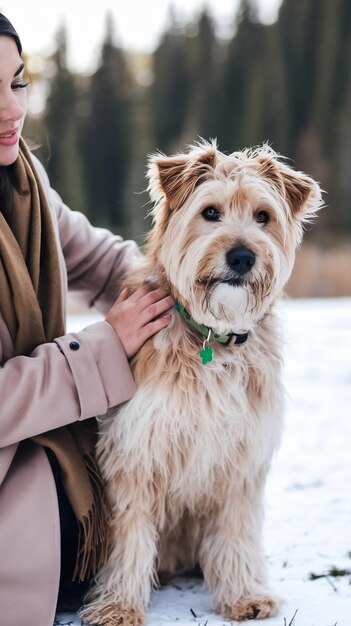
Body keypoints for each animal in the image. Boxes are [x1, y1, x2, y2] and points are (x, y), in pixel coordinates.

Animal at [81, 141, 324, 624]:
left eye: (263, 216)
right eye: (210, 212)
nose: (243, 257)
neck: (214, 338)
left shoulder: (241, 458)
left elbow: (234, 532)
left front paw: (244, 595)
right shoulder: (137, 451)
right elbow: (130, 536)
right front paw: (118, 605)